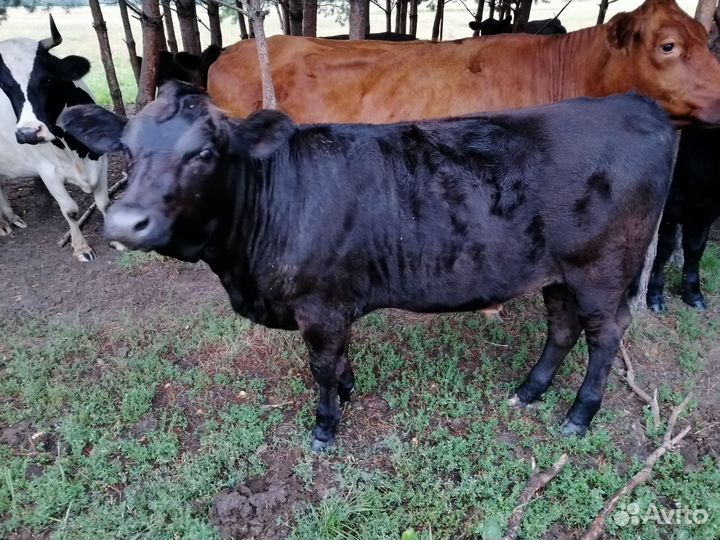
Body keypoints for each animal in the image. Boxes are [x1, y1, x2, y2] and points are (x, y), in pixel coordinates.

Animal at [0, 16, 109, 261]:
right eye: (4, 86)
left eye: (48, 79)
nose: (28, 133)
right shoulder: (47, 171)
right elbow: (70, 211)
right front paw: (80, 247)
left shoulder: (100, 157)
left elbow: (104, 203)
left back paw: (11, 218)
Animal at [60, 82, 675, 449]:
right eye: (127, 149)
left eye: (204, 152)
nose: (125, 223)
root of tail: (636, 102)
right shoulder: (332, 306)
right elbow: (340, 360)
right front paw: (351, 389)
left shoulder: (319, 305)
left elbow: (321, 368)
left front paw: (326, 426)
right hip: (556, 272)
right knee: (562, 327)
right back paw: (529, 390)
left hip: (602, 271)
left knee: (605, 336)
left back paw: (579, 415)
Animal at [647, 127, 720, 311]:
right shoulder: (668, 208)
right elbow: (664, 248)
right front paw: (655, 295)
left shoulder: (705, 212)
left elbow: (695, 250)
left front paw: (693, 294)